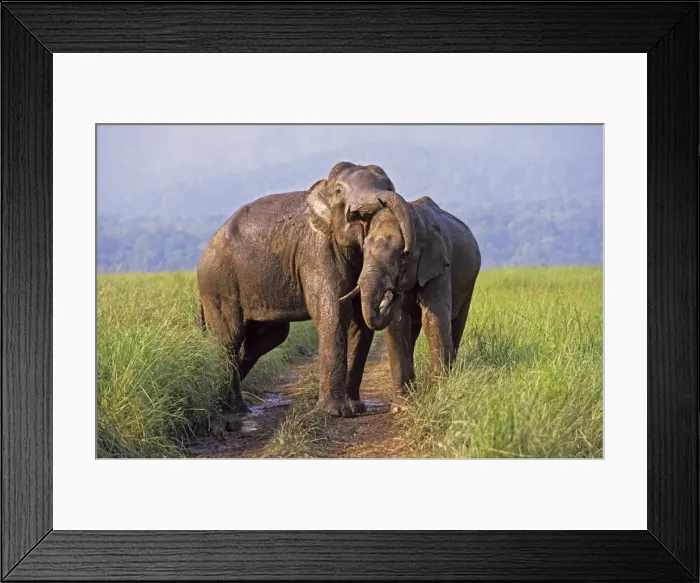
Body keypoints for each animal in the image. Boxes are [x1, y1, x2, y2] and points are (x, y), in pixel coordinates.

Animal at [197, 161, 415, 417]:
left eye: (389, 186)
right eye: (339, 191)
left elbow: (360, 324)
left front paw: (356, 409)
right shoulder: (318, 252)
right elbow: (333, 315)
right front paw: (335, 412)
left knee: (267, 338)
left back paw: (232, 404)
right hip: (218, 284)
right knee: (228, 338)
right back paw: (230, 408)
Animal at [339, 193, 481, 411]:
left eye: (404, 255)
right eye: (364, 249)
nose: (393, 292)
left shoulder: (438, 266)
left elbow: (434, 320)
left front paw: (439, 395)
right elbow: (398, 324)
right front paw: (402, 407)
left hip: (469, 284)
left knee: (457, 323)